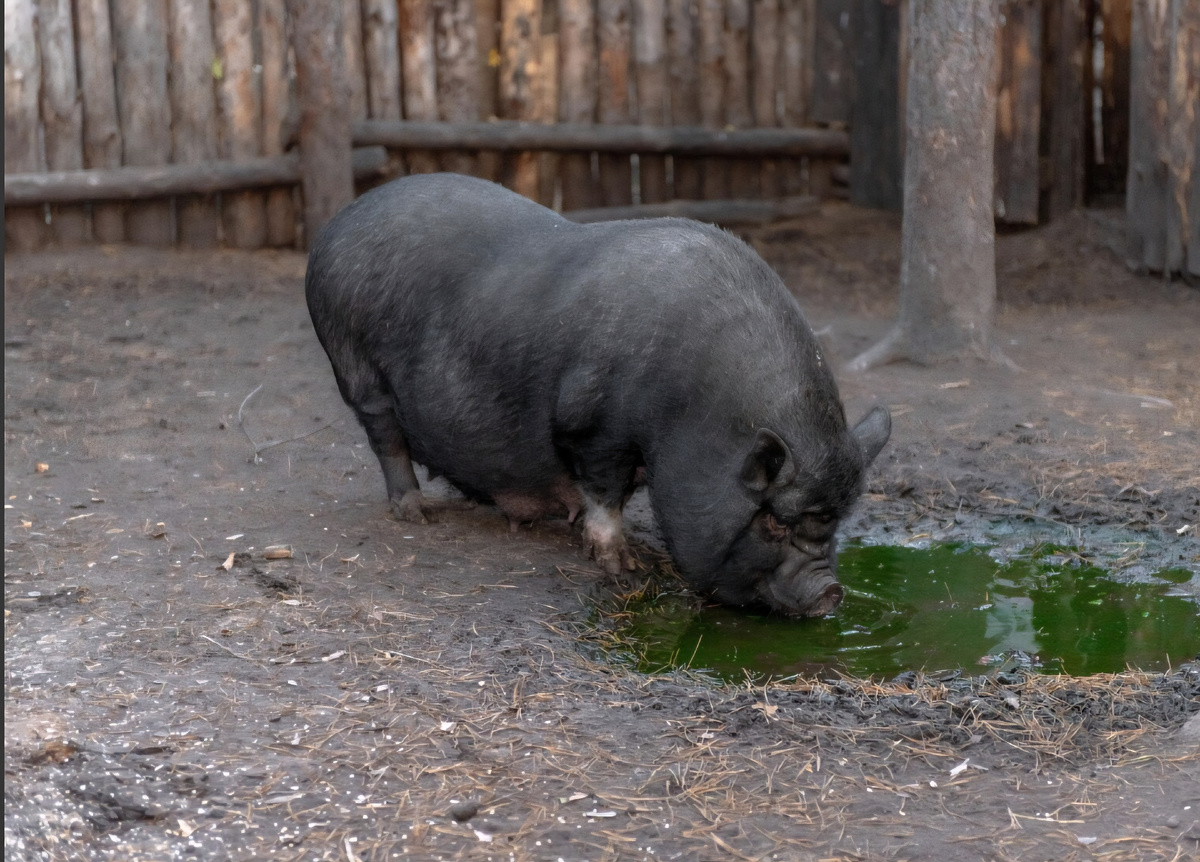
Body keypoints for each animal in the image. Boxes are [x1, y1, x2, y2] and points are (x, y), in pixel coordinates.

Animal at [305, 173, 890, 618]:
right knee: (386, 438)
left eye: (835, 523)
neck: (690, 413)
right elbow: (604, 490)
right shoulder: (590, 424)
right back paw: (416, 514)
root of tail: (337, 224)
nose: (831, 591)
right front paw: (621, 567)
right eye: (772, 521)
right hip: (356, 367)